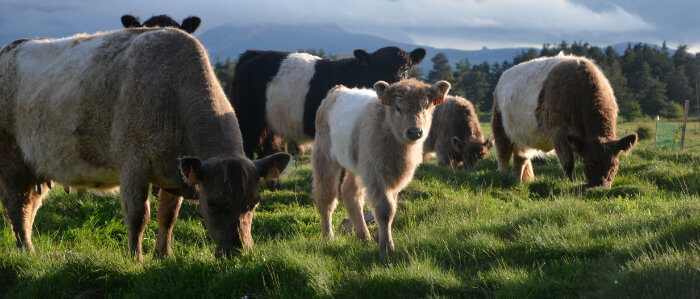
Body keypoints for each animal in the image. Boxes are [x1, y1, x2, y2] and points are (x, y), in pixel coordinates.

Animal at [0, 28, 290, 262]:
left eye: (254, 203)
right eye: (211, 203)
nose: (239, 252)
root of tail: (11, 47)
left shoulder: (175, 172)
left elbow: (168, 216)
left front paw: (164, 255)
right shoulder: (132, 167)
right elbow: (138, 216)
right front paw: (135, 258)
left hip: (34, 168)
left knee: (29, 206)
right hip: (12, 160)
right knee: (17, 206)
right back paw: (26, 251)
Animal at [232, 47, 424, 188]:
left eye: (406, 69)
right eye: (376, 68)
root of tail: (253, 53)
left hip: (267, 122)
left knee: (268, 145)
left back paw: (274, 183)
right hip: (247, 119)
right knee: (248, 146)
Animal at [312, 78, 448, 258]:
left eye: (426, 107)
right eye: (398, 107)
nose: (415, 131)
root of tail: (337, 90)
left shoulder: (395, 177)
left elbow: (392, 205)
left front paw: (378, 238)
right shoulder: (376, 175)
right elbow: (385, 210)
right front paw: (386, 249)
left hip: (358, 166)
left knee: (350, 193)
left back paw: (363, 236)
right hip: (325, 157)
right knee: (326, 197)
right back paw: (328, 236)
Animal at [490, 54, 636, 188]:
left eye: (613, 164)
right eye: (589, 162)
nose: (599, 186)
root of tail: (504, 75)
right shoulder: (559, 135)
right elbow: (568, 162)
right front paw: (568, 184)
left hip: (522, 138)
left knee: (520, 159)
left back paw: (517, 181)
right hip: (500, 127)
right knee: (503, 155)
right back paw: (503, 177)